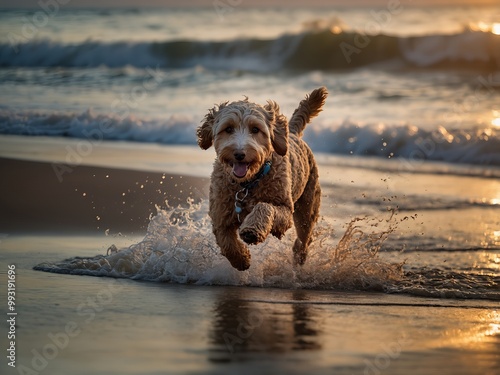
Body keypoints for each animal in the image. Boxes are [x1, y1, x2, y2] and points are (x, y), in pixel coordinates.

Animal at [195, 87, 328, 272]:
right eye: (228, 129)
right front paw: (241, 259)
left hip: (306, 209)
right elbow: (226, 242)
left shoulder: (285, 210)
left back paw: (299, 258)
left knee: (304, 238)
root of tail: (292, 132)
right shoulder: (220, 214)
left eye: (255, 129)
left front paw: (252, 230)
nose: (239, 153)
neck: (247, 184)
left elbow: (265, 206)